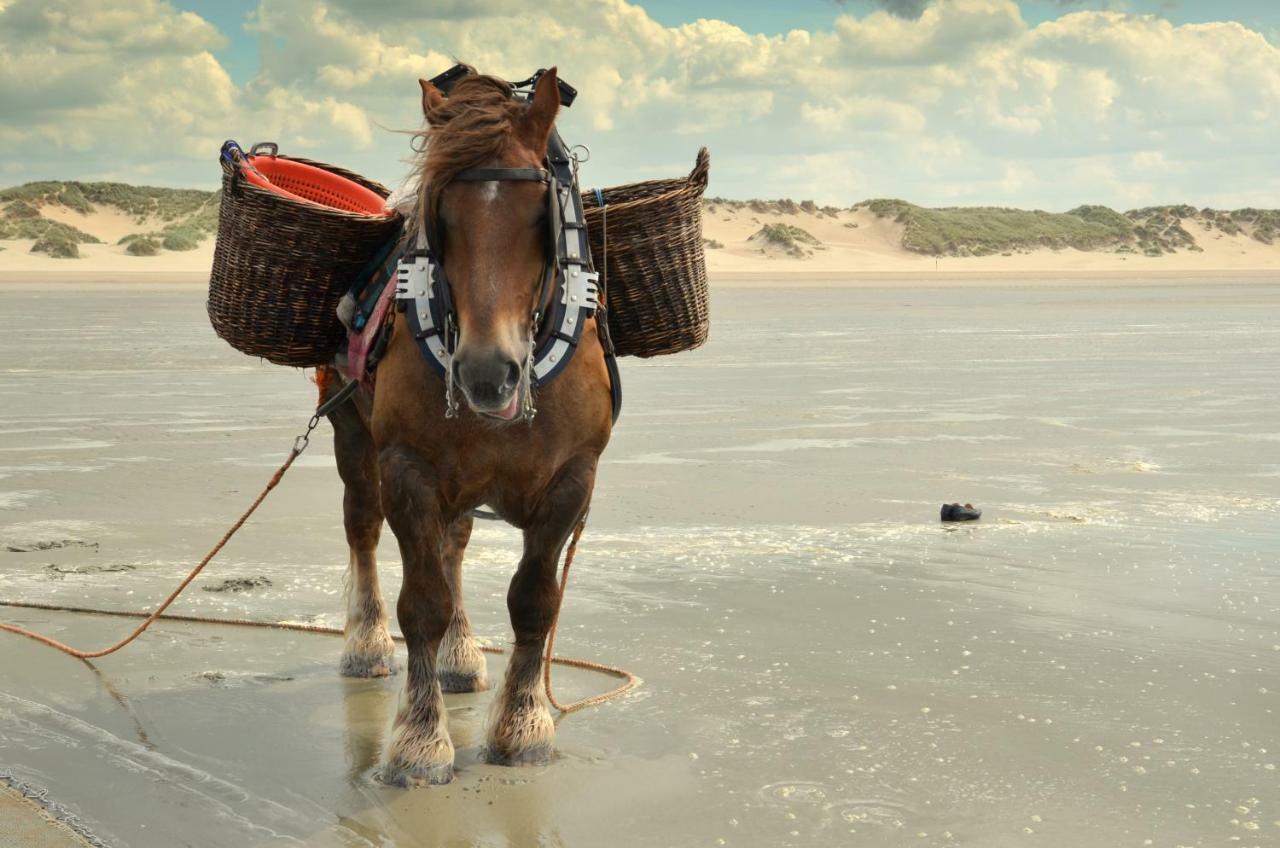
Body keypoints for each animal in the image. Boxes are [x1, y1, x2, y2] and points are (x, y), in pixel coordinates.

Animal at [309, 68, 609, 789]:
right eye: (440, 214)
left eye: (539, 216)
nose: (486, 371)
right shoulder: (407, 469)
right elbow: (422, 603)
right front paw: (420, 741)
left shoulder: (574, 479)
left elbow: (534, 602)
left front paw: (523, 726)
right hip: (353, 435)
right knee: (363, 528)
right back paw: (366, 642)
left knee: (454, 545)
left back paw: (462, 657)